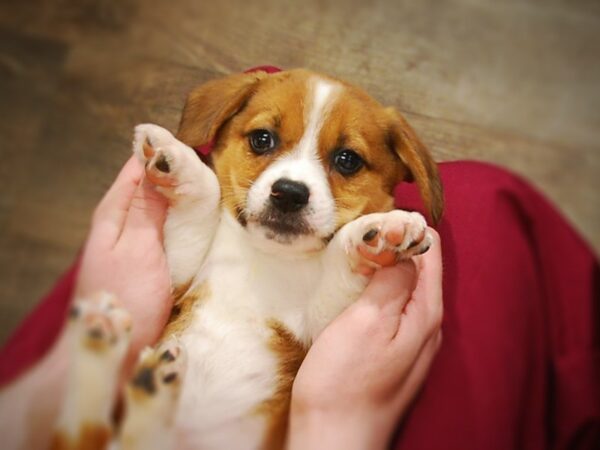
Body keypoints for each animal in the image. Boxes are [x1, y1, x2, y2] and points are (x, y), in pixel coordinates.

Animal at [52, 67, 440, 450]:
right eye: (262, 139)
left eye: (347, 160)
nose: (289, 193)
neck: (266, 259)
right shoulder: (181, 279)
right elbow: (205, 199)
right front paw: (178, 160)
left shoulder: (316, 328)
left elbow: (339, 264)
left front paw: (383, 230)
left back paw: (143, 377)